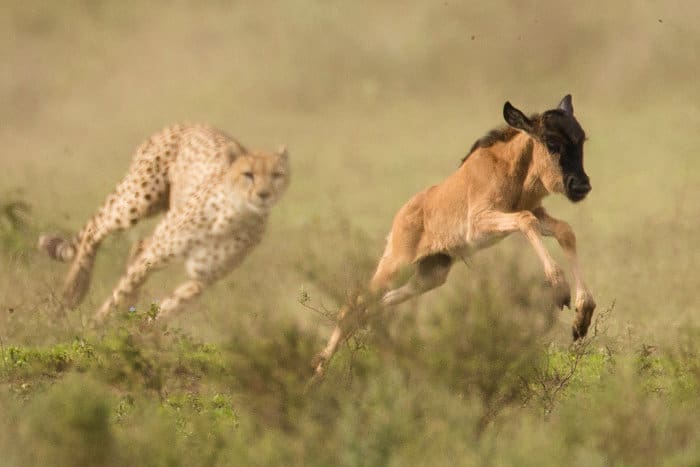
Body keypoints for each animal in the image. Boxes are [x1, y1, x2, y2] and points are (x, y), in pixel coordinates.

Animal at [37, 124, 290, 322]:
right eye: (248, 174)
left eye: (277, 175)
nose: (264, 194)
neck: (233, 215)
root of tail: (186, 124)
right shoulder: (156, 256)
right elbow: (121, 292)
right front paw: (97, 326)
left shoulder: (201, 279)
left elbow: (168, 308)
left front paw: (140, 329)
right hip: (139, 199)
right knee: (96, 228)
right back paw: (74, 290)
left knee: (138, 244)